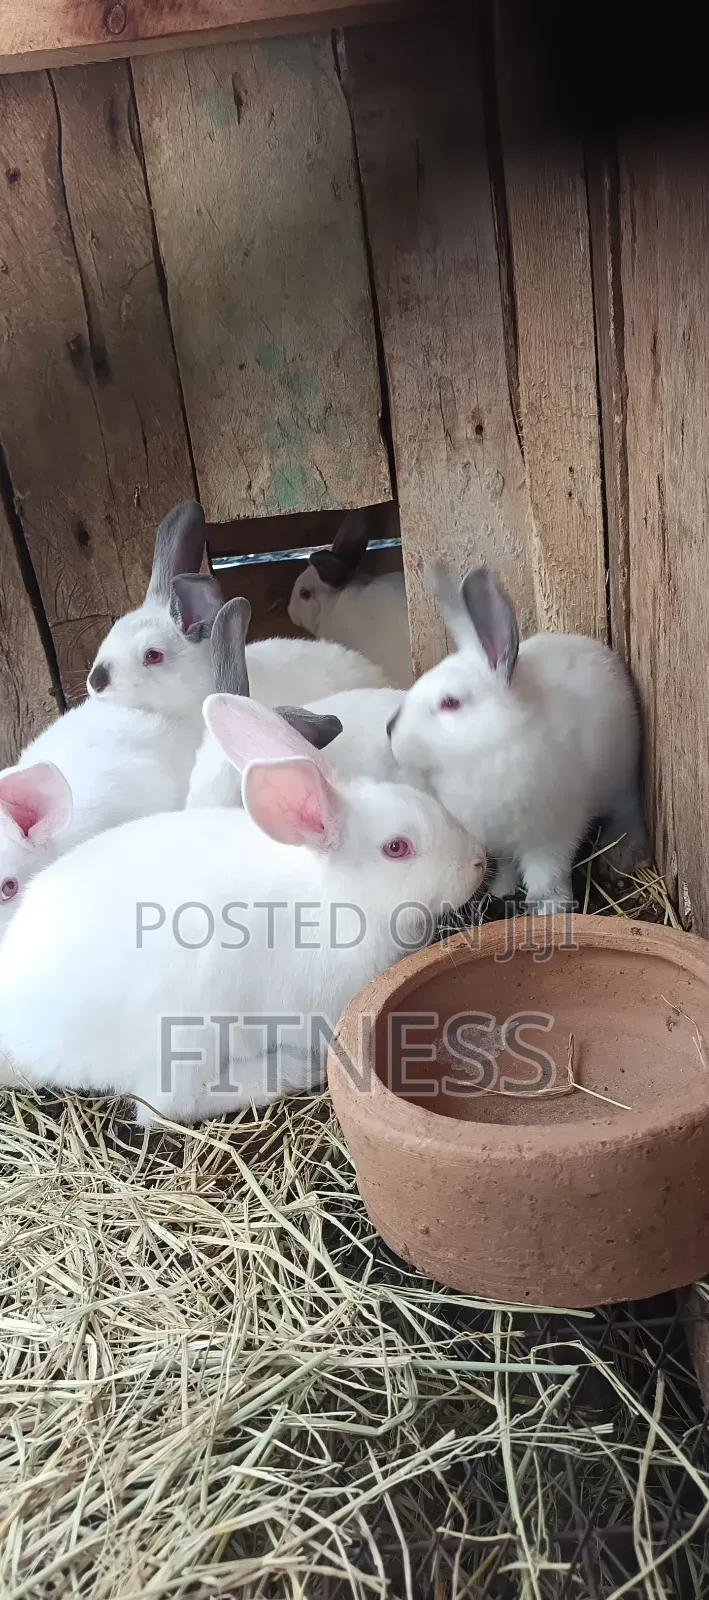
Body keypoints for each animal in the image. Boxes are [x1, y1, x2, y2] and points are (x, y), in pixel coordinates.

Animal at [0, 697, 486, 1126]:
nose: (479, 861)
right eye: (397, 848)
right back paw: (289, 1074)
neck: (335, 895)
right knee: (164, 1107)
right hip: (184, 1036)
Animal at [387, 564, 649, 914]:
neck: (488, 750)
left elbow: (546, 874)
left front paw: (547, 907)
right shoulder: (500, 841)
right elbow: (507, 866)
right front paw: (500, 891)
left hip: (622, 778)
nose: (390, 731)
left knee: (628, 814)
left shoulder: (550, 836)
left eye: (451, 703)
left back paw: (621, 855)